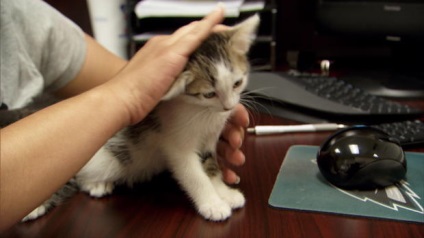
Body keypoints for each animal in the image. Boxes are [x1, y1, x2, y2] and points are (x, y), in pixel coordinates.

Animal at [24, 14, 260, 222]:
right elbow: (194, 175)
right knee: (83, 177)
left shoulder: (210, 139)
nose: (229, 106)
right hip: (100, 160)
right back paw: (97, 185)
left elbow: (211, 167)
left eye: (237, 83)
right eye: (209, 94)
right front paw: (212, 204)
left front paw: (224, 193)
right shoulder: (177, 147)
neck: (203, 112)